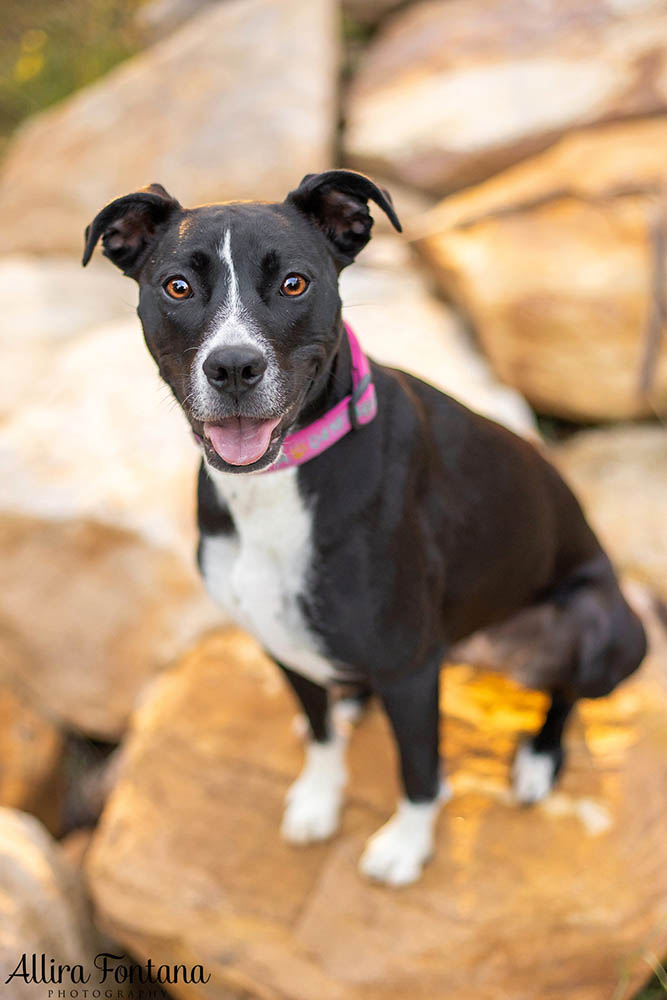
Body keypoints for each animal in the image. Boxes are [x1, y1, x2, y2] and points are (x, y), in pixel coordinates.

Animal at [83, 168, 648, 888]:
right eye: (177, 286)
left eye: (294, 283)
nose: (233, 367)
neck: (279, 480)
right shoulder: (278, 641)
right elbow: (323, 736)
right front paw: (319, 799)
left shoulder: (410, 667)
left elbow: (420, 769)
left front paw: (406, 845)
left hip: (603, 628)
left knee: (567, 693)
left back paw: (538, 760)